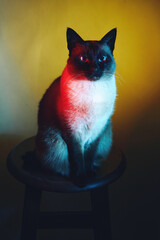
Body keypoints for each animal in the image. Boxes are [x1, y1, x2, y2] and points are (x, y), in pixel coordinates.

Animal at [35, 27, 117, 187]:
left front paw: (90, 174)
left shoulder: (97, 131)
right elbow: (78, 158)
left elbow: (89, 156)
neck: (93, 93)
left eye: (103, 59)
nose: (95, 68)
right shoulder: (73, 132)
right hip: (54, 143)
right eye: (84, 59)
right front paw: (81, 180)